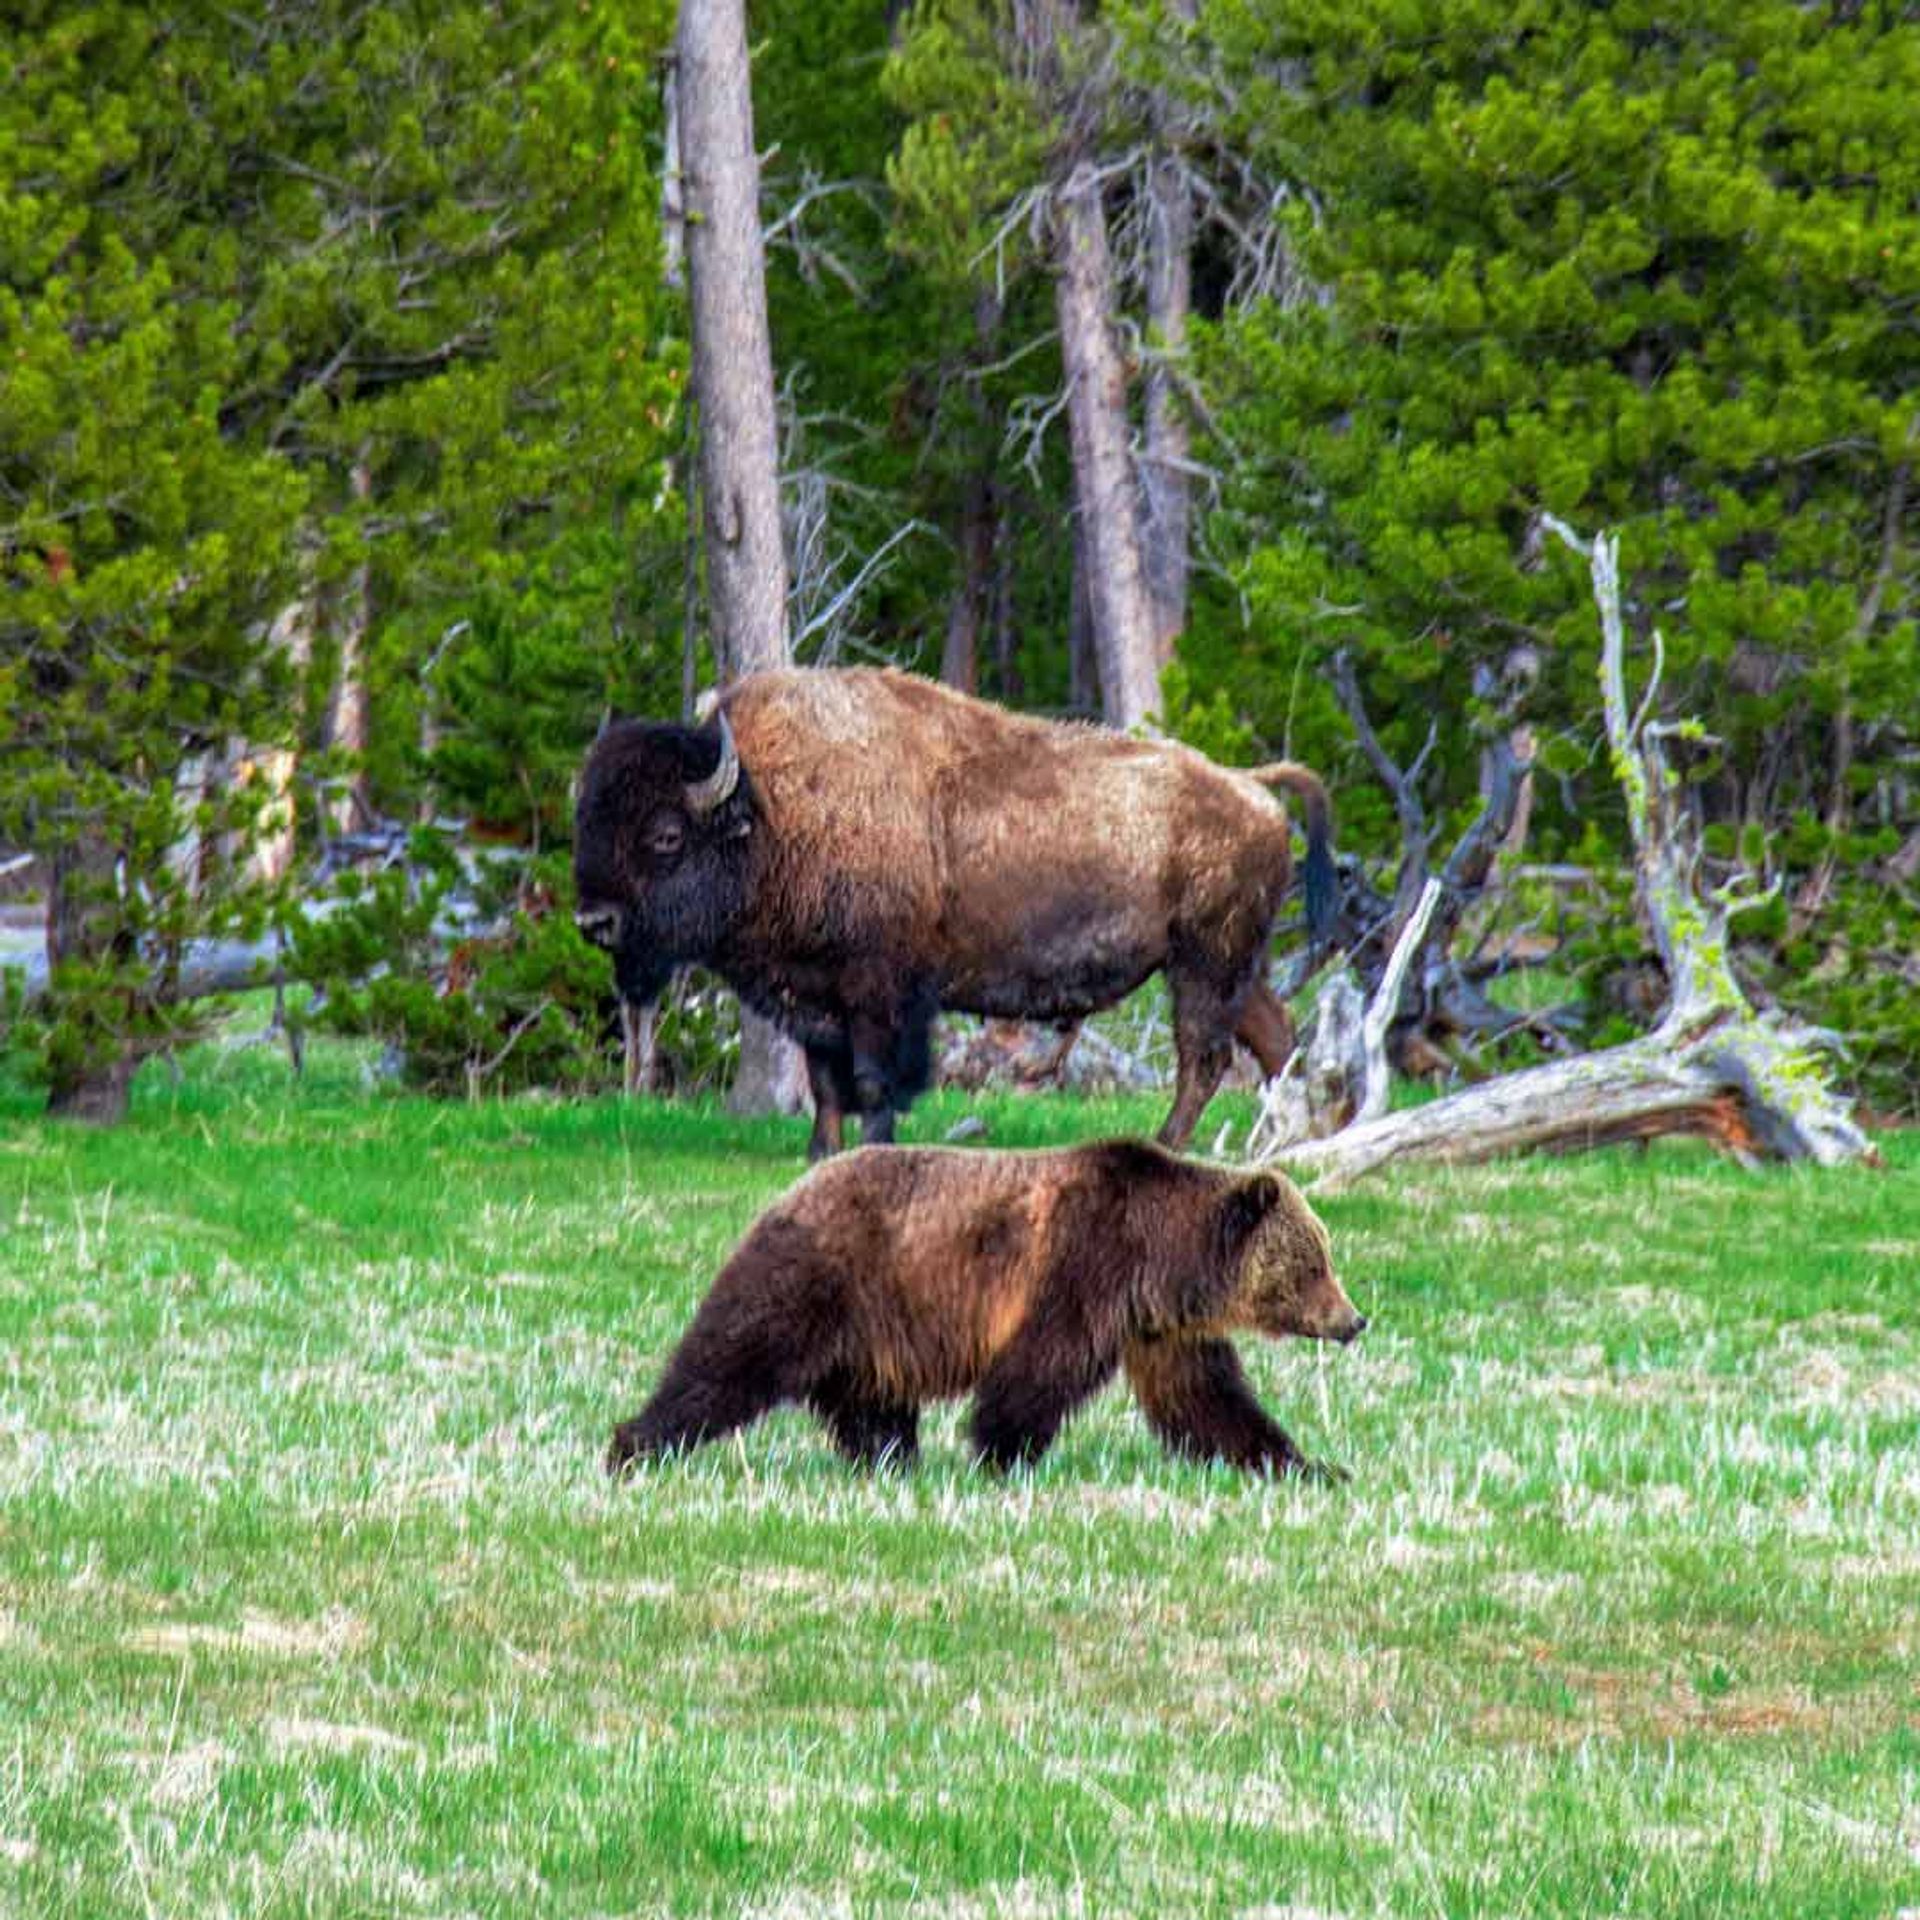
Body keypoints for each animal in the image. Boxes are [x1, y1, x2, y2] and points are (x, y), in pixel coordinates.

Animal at [573, 667, 1331, 1159]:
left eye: (666, 835)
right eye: (587, 818)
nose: (593, 923)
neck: (773, 810)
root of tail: (1250, 786)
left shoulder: (878, 990)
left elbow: (873, 1077)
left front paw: (872, 1147)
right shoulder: (811, 992)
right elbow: (824, 1081)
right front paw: (820, 1152)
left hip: (1203, 963)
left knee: (1204, 1056)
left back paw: (1169, 1144)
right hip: (1232, 966)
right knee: (1274, 1040)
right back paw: (1297, 1141)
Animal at [604, 1139, 1365, 1481]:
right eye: (1314, 1264)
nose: (1354, 1321)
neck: (1162, 1258)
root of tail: (789, 1190)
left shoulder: (1161, 1327)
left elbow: (1208, 1399)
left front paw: (1306, 1464)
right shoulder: (1083, 1266)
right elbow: (1038, 1368)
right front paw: (1002, 1453)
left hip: (874, 1324)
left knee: (869, 1400)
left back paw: (889, 1460)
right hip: (823, 1274)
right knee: (729, 1359)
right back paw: (634, 1444)